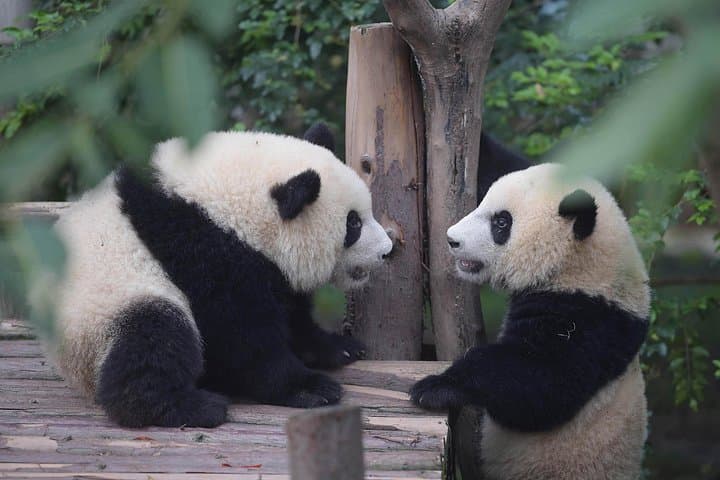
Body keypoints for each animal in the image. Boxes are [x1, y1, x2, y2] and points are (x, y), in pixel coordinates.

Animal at [52, 123, 393, 428]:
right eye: (353, 224)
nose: (387, 250)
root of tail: (73, 368)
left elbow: (292, 314)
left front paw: (338, 347)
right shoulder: (201, 249)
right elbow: (240, 336)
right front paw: (309, 388)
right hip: (107, 309)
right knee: (155, 337)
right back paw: (190, 407)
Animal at [411, 161, 649, 479]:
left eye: (501, 223)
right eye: (483, 201)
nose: (452, 239)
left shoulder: (590, 322)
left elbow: (540, 382)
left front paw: (437, 387)